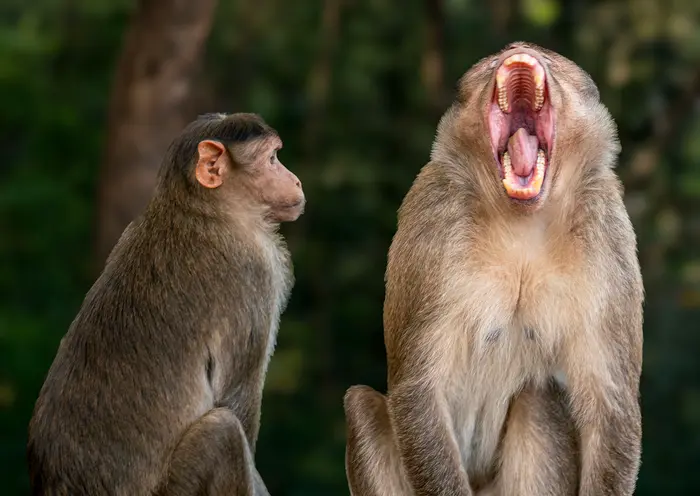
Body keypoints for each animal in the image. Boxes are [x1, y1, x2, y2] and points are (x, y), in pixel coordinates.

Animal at [27, 112, 305, 496]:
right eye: (273, 159)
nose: (296, 179)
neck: (199, 209)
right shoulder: (256, 271)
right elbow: (235, 402)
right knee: (222, 431)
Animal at [344, 42, 644, 496]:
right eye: (490, 65)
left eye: (548, 59)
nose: (519, 48)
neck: (520, 218)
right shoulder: (433, 212)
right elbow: (418, 390)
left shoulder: (607, 229)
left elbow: (610, 404)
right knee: (361, 405)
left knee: (539, 400)